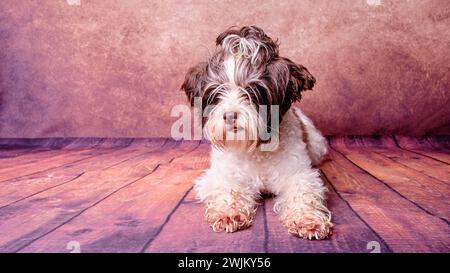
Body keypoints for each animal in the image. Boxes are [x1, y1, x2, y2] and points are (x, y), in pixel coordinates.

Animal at [181, 25, 332, 238]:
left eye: (253, 90)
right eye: (216, 93)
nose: (230, 115)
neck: (257, 150)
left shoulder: (299, 173)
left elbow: (302, 192)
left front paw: (308, 219)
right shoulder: (222, 174)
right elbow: (229, 188)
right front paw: (228, 213)